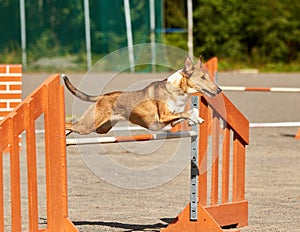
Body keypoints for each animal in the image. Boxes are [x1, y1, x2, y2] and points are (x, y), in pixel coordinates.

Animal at [63, 56, 221, 135]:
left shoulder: (172, 120)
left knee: (72, 127)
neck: (176, 89)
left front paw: (196, 120)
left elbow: (187, 113)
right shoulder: (162, 117)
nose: (219, 90)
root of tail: (101, 96)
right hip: (87, 126)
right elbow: (189, 111)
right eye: (203, 77)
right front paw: (195, 118)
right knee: (69, 123)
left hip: (101, 128)